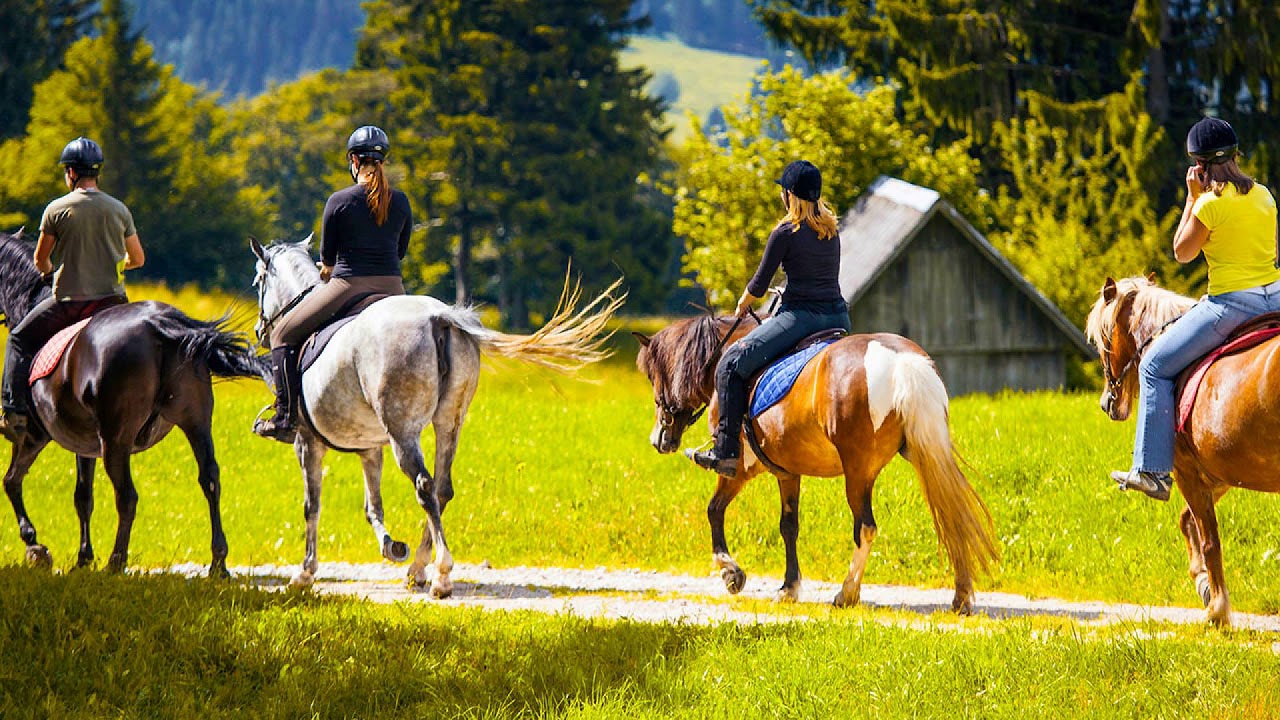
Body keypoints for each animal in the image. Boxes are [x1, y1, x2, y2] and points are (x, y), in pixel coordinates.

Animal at [0, 229, 266, 575]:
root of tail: (160, 324)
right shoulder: (83, 444)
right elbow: (82, 497)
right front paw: (82, 557)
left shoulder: (34, 435)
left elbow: (12, 481)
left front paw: (36, 546)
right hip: (195, 421)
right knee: (209, 479)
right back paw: (218, 563)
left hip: (116, 438)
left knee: (127, 496)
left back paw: (116, 562)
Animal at [250, 236, 623, 597]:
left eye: (258, 281)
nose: (259, 332)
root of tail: (439, 317)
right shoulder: (370, 447)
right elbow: (373, 506)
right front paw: (390, 546)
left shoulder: (307, 443)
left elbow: (312, 507)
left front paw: (304, 574)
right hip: (449, 424)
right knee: (442, 489)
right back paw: (417, 568)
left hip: (403, 432)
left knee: (424, 486)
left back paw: (441, 575)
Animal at [634, 316, 999, 612]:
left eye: (653, 375)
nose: (658, 439)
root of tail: (900, 361)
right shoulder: (788, 472)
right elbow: (789, 526)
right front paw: (788, 587)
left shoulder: (739, 469)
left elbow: (714, 510)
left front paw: (731, 573)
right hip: (925, 454)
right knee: (953, 515)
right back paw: (961, 596)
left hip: (858, 471)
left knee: (865, 527)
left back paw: (847, 594)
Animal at [1086, 275, 1280, 626]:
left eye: (1101, 339)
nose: (1108, 402)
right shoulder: (1218, 475)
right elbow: (1187, 522)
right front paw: (1204, 584)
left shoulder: (1187, 472)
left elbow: (1209, 539)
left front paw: (1217, 609)